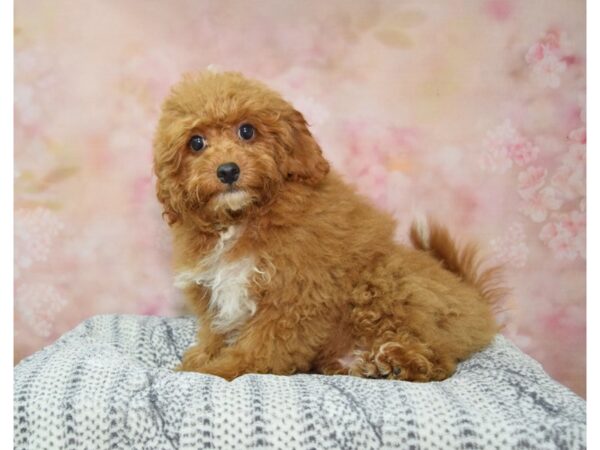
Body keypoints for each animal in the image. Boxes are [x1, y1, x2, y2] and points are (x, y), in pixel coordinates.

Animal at [152, 72, 500, 382]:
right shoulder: (213, 295)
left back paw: (400, 362)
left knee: (440, 358)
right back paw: (366, 364)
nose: (227, 171)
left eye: (247, 131)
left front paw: (215, 370)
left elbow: (261, 349)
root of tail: (475, 301)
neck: (243, 218)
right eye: (196, 143)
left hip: (387, 281)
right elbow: (215, 334)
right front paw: (201, 357)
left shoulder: (295, 296)